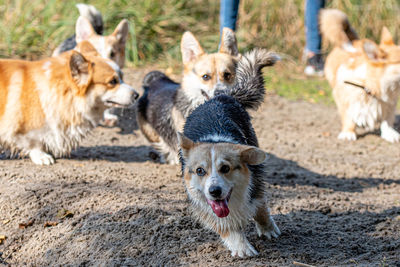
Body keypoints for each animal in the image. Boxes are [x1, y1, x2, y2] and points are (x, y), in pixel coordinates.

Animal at [0, 42, 139, 165]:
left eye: (122, 78)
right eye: (113, 81)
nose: (137, 95)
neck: (64, 91)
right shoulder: (18, 126)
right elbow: (32, 142)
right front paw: (42, 156)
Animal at [178, 49, 282, 258]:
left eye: (225, 168)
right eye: (200, 171)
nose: (214, 191)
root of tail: (219, 98)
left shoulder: (256, 185)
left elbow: (260, 207)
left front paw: (267, 229)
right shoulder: (204, 204)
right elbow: (225, 226)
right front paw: (242, 247)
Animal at [320, 8, 400, 142]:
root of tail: (352, 40)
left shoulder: (390, 104)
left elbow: (387, 120)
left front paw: (390, 133)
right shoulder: (343, 97)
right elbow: (348, 116)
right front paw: (348, 132)